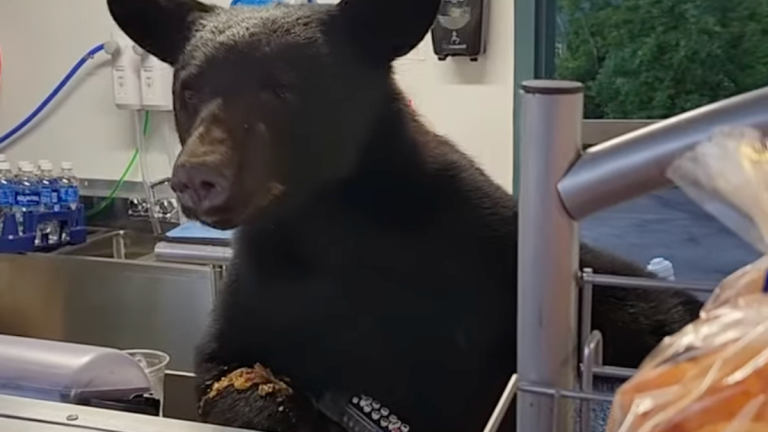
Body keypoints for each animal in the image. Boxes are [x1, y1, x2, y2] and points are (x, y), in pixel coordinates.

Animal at [106, 0, 704, 432]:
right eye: (189, 91)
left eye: (281, 88)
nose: (196, 176)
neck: (326, 223)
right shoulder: (260, 290)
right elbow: (228, 373)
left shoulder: (483, 241)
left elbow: (639, 300)